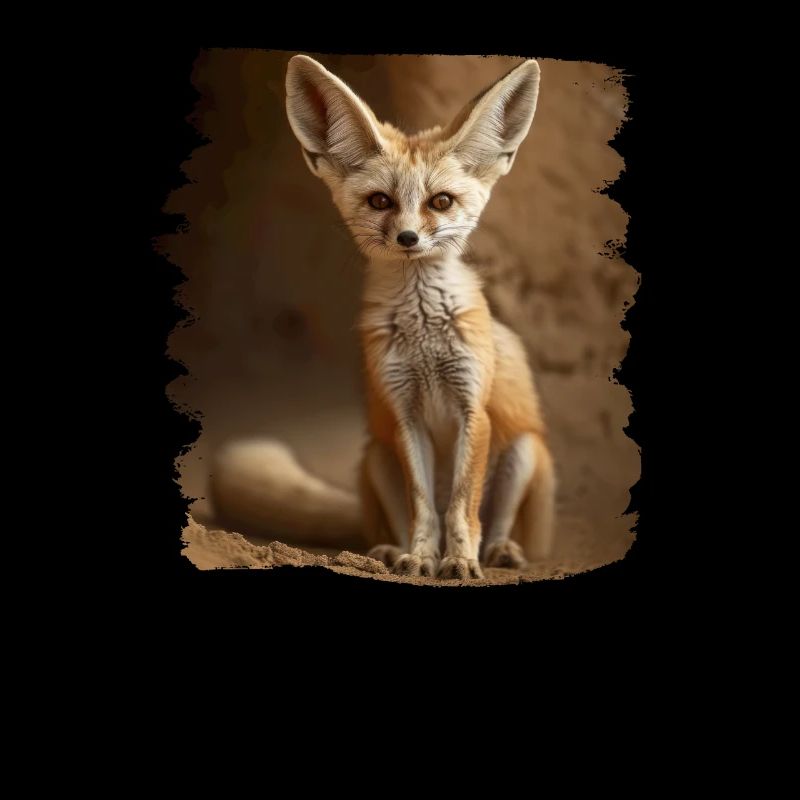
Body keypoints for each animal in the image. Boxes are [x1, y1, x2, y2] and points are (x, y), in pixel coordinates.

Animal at [210, 55, 556, 580]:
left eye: (441, 202)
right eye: (380, 201)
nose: (408, 238)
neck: (425, 338)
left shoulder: (472, 408)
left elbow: (461, 507)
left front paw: (460, 560)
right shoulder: (403, 413)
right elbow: (424, 506)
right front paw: (422, 557)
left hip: (522, 451)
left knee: (498, 525)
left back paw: (499, 551)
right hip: (377, 456)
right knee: (392, 520)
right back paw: (390, 552)